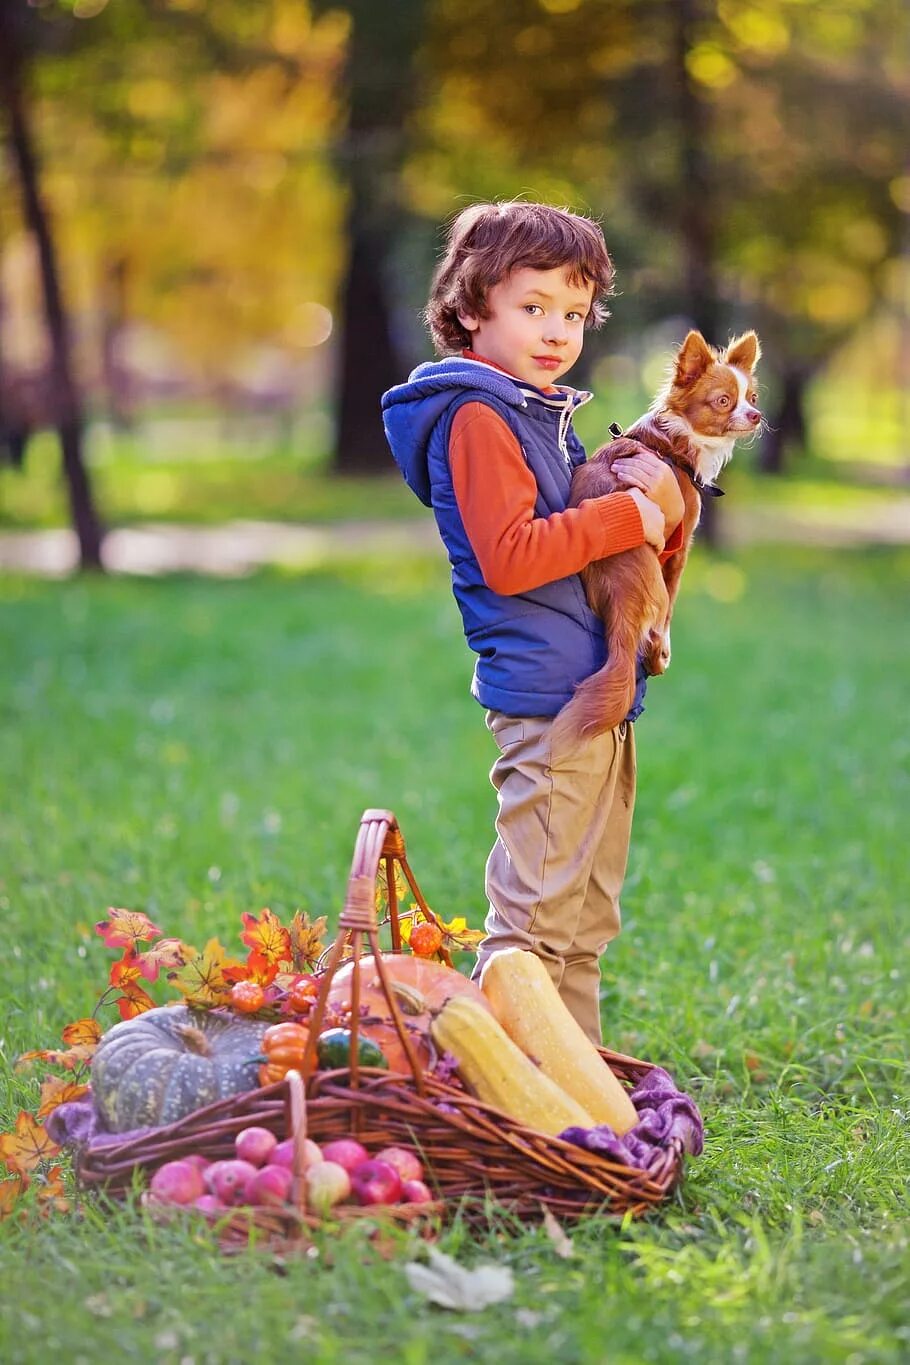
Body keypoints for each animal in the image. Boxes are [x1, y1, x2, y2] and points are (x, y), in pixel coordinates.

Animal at [556, 326, 764, 742]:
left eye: (751, 398)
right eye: (723, 401)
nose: (756, 415)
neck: (674, 443)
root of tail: (620, 598)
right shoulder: (681, 547)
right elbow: (674, 597)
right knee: (655, 632)